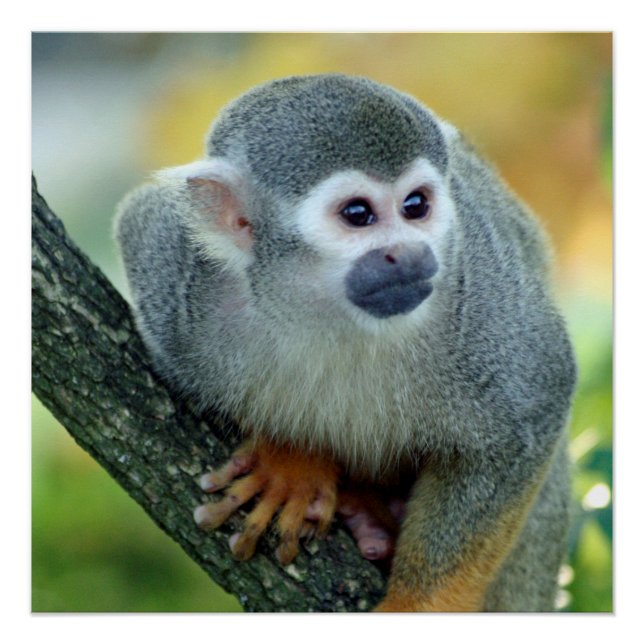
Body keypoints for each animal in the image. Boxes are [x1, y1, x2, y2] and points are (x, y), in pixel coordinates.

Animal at [114, 74, 576, 612]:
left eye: (416, 206)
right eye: (358, 214)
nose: (409, 254)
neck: (331, 312)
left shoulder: (479, 287)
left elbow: (535, 407)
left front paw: (417, 608)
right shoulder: (183, 290)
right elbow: (138, 218)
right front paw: (290, 459)